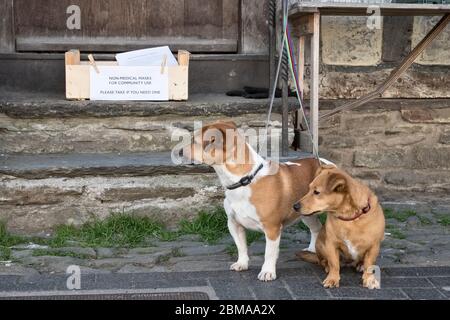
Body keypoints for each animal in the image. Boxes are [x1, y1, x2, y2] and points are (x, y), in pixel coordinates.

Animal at [179, 121, 326, 282]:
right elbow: (241, 247)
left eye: (195, 141)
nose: (179, 151)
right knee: (316, 228)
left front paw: (267, 272)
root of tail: (326, 164)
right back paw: (312, 250)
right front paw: (242, 263)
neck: (244, 180)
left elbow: (269, 253)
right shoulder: (234, 224)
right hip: (306, 214)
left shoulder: (272, 228)